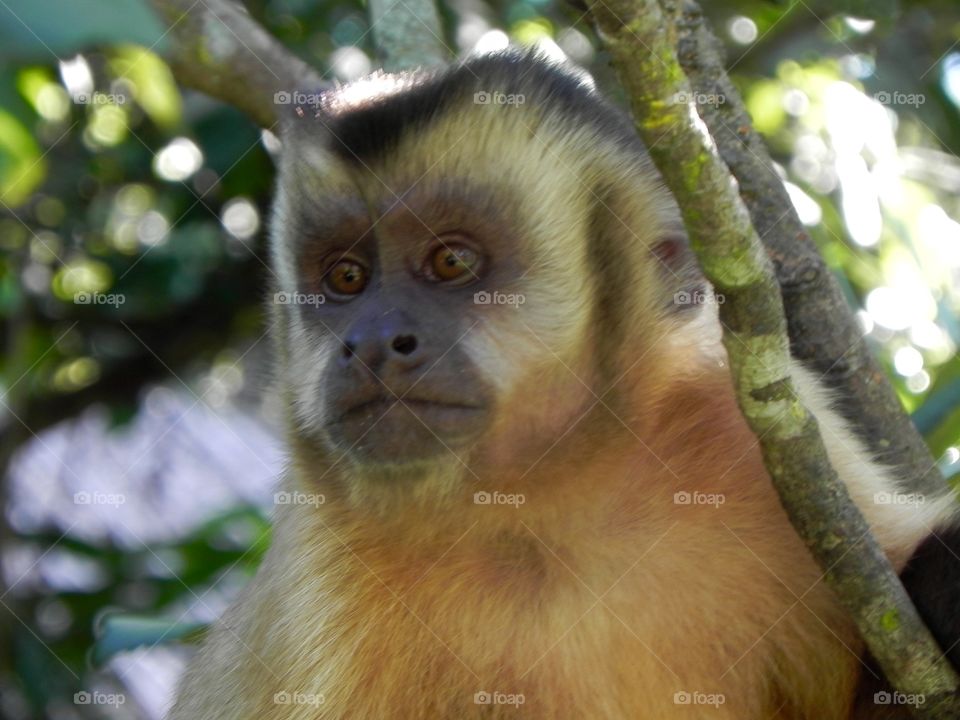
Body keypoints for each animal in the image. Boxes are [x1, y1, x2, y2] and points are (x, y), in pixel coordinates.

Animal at [168, 50, 960, 719]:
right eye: (346, 278)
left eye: (452, 261)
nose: (369, 344)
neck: (542, 507)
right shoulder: (324, 572)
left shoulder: (742, 423)